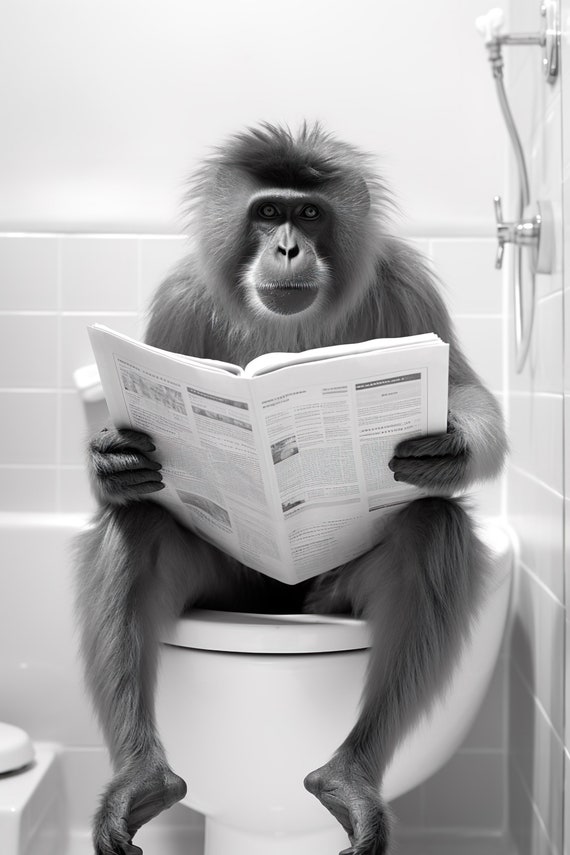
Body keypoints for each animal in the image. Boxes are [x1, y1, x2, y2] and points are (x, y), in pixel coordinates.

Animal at [76, 123, 507, 855]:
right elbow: (129, 491)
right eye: (268, 212)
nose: (286, 248)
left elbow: (468, 395)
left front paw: (448, 448)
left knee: (431, 526)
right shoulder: (182, 299)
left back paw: (348, 779)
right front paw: (114, 459)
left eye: (308, 213)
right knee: (139, 525)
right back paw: (141, 780)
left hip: (326, 600)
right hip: (233, 589)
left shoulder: (405, 282)